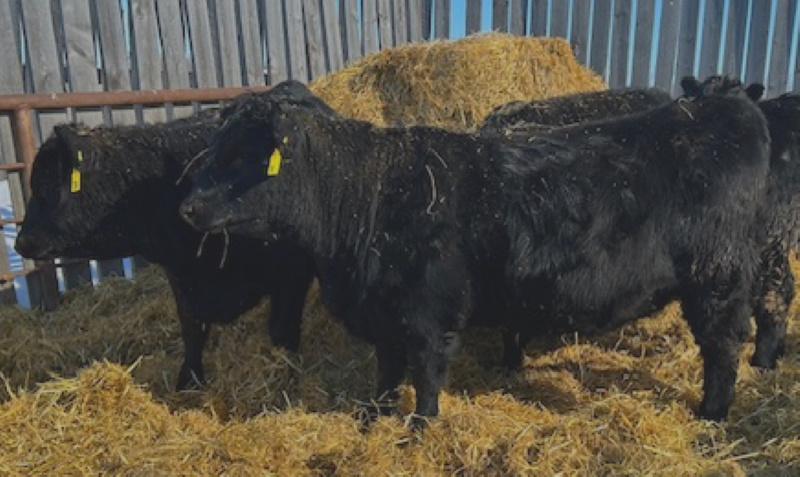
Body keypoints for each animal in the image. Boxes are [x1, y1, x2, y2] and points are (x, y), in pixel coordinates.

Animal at [14, 81, 327, 391]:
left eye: (48, 186)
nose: (20, 242)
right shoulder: (181, 278)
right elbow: (192, 329)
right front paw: (188, 380)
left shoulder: (292, 274)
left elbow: (282, 332)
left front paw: (284, 378)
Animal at [179, 82, 770, 424]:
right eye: (215, 146)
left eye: (243, 155)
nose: (186, 207)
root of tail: (722, 108)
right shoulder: (383, 310)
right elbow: (386, 369)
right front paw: (373, 415)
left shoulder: (429, 312)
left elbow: (426, 372)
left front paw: (420, 425)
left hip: (718, 278)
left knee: (723, 345)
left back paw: (712, 413)